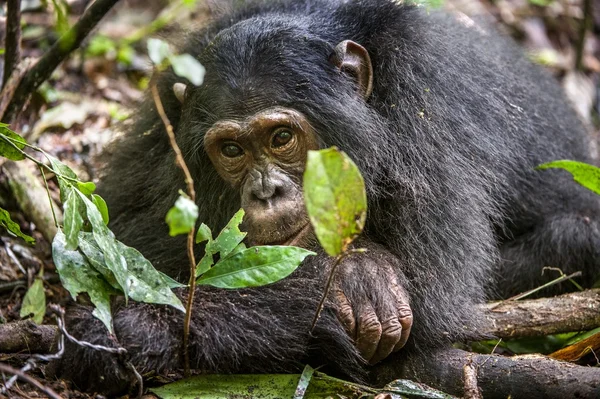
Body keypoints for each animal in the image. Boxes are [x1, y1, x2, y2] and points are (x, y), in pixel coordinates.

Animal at [49, 0, 600, 396]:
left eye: (281, 138)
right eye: (232, 150)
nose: (266, 190)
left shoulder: (427, 106)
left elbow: (434, 298)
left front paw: (137, 325)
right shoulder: (161, 121)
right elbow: (131, 239)